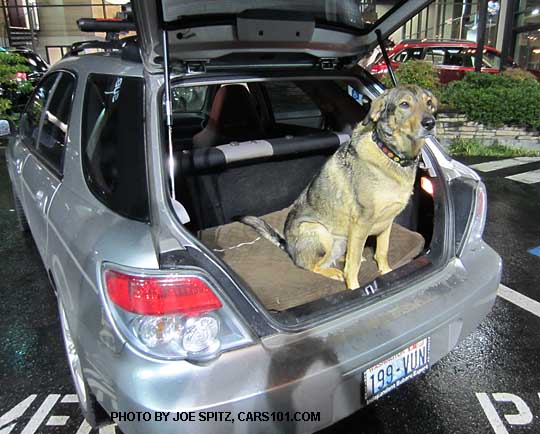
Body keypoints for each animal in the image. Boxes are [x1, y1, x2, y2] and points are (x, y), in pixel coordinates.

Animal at [243, 85, 440, 288]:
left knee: (336, 258)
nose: (430, 123)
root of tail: (288, 247)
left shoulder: (388, 222)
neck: (392, 156)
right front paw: (353, 287)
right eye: (404, 104)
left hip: (342, 240)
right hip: (319, 232)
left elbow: (382, 252)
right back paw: (334, 272)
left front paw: (387, 272)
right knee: (311, 266)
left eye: (429, 103)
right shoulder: (362, 222)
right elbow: (353, 266)